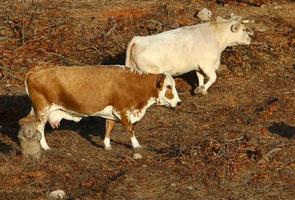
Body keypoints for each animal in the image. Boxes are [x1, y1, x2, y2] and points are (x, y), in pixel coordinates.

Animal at [24, 65, 182, 151]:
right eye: (169, 86)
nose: (179, 102)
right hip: (42, 109)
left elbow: (109, 128)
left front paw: (107, 145)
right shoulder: (122, 110)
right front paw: (136, 145)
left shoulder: (111, 112)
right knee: (40, 128)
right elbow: (130, 128)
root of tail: (37, 69)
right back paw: (45, 147)